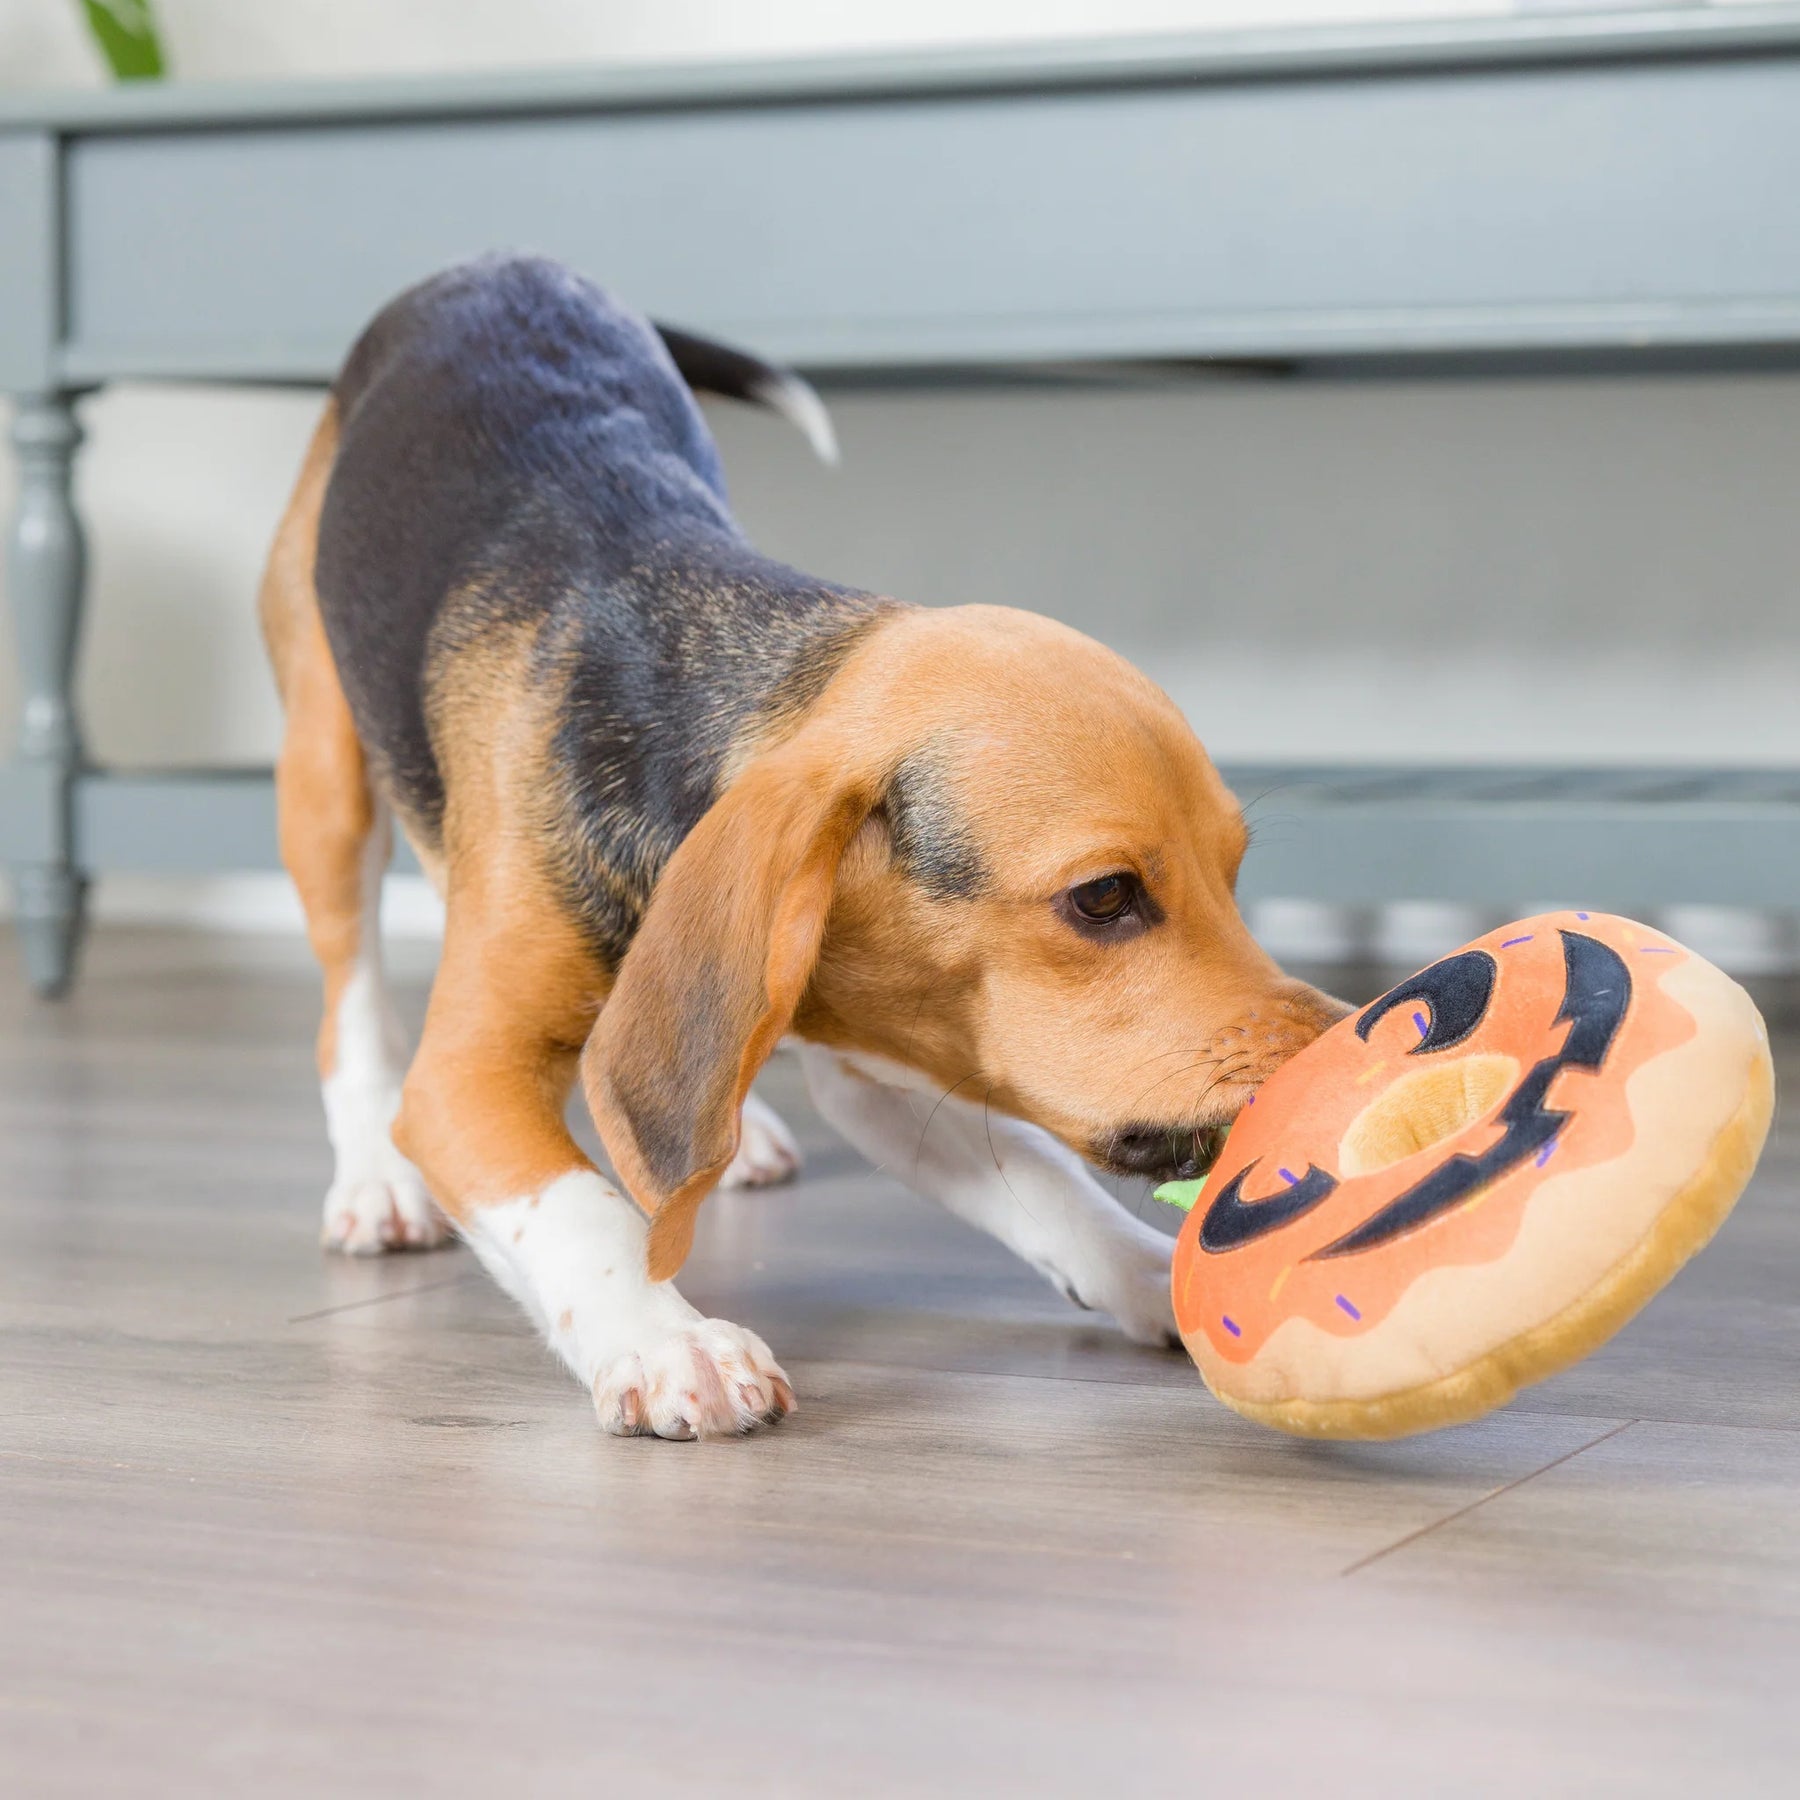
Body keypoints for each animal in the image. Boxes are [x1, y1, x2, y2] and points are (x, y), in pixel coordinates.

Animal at [261, 250, 1346, 1432]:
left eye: (1234, 872)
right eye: (1103, 897)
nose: (1346, 1045)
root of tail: (498, 262)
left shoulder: (888, 1063)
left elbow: (1045, 1182)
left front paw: (1156, 1276)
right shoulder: (467, 1076)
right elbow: (580, 1209)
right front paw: (663, 1338)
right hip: (324, 777)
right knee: (350, 1004)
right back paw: (374, 1182)